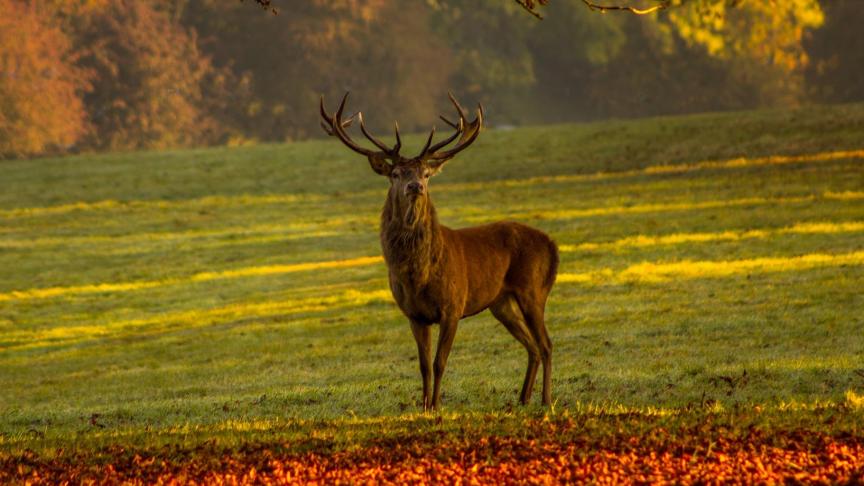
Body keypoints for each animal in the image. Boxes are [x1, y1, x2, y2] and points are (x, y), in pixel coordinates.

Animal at [320, 92, 558, 410]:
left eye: (426, 173)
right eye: (395, 173)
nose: (415, 186)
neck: (418, 275)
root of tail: (552, 245)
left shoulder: (453, 306)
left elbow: (439, 362)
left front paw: (436, 405)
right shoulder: (414, 314)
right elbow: (423, 365)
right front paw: (423, 406)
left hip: (533, 289)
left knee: (546, 343)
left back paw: (546, 399)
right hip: (501, 302)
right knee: (531, 345)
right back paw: (522, 397)